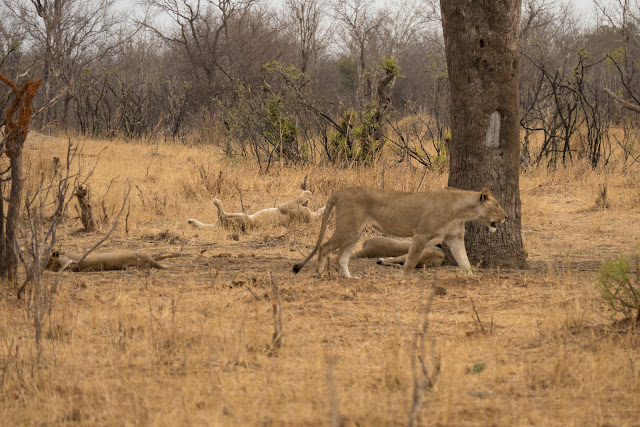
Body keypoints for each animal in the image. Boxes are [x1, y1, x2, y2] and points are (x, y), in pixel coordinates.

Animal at [186, 190, 324, 231]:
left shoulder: (286, 207)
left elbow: (299, 198)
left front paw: (308, 193)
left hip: (243, 217)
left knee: (222, 215)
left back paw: (216, 202)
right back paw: (191, 220)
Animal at [292, 187, 508, 278]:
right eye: (498, 205)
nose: (506, 217)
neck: (462, 210)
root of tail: (339, 191)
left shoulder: (454, 238)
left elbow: (465, 262)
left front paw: (473, 278)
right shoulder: (421, 234)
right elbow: (411, 261)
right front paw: (402, 279)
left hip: (355, 232)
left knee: (341, 257)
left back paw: (349, 278)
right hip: (348, 228)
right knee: (324, 247)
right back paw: (320, 274)